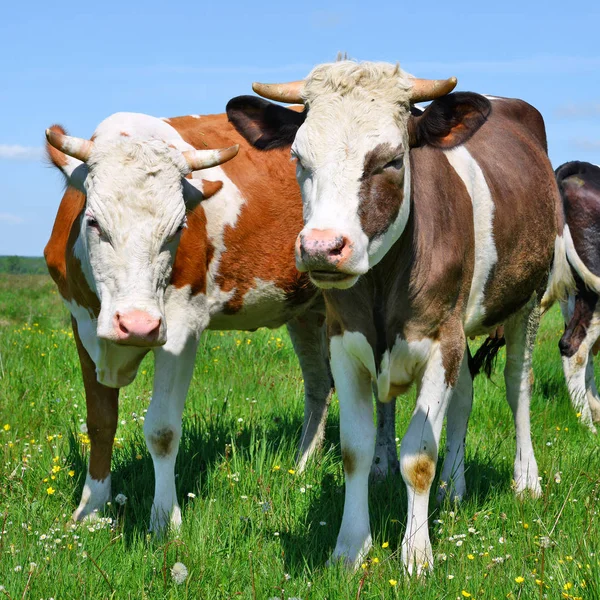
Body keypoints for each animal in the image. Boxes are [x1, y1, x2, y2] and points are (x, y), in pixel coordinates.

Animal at [44, 110, 340, 532]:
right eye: (93, 222)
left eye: (179, 228)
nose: (137, 325)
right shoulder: (83, 324)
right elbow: (100, 422)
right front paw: (91, 510)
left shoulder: (182, 327)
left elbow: (163, 430)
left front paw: (165, 521)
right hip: (306, 308)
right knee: (319, 384)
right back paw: (301, 468)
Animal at [226, 59, 568, 572]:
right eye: (299, 158)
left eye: (390, 161)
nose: (321, 247)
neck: (384, 281)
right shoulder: (346, 341)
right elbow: (355, 449)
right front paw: (349, 549)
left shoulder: (440, 339)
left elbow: (420, 456)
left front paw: (417, 556)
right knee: (463, 397)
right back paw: (454, 487)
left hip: (528, 298)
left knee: (517, 385)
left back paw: (527, 480)